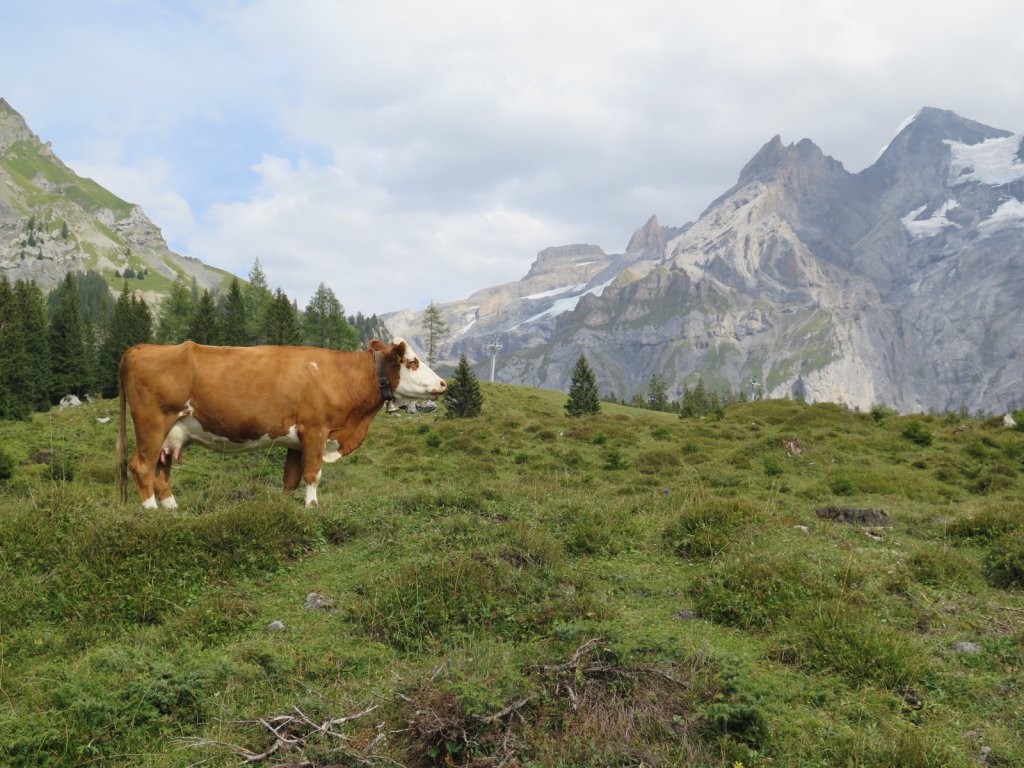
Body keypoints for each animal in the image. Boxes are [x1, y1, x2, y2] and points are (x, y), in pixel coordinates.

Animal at [116, 337, 444, 507]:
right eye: (412, 362)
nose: (443, 383)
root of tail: (140, 348)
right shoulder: (315, 430)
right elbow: (313, 474)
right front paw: (312, 507)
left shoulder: (297, 441)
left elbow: (291, 478)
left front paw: (285, 509)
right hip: (151, 425)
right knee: (142, 467)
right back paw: (151, 512)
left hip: (172, 433)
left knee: (161, 472)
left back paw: (172, 510)